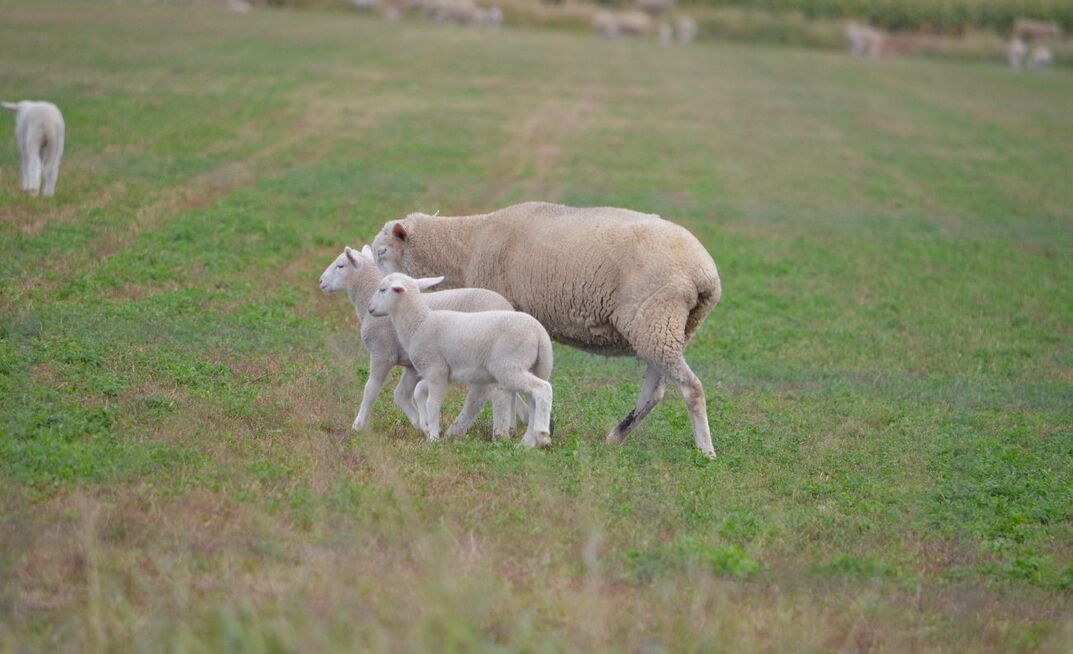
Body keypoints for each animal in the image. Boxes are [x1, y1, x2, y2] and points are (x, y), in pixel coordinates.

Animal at [319, 245, 524, 438]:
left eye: (340, 265)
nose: (320, 282)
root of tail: (509, 309)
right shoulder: (412, 365)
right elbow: (401, 394)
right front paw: (422, 424)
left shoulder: (382, 353)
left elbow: (371, 389)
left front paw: (358, 424)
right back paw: (511, 427)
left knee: (489, 394)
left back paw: (493, 431)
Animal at [368, 273, 554, 448]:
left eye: (383, 290)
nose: (370, 309)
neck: (419, 323)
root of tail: (540, 334)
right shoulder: (442, 373)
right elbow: (419, 391)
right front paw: (425, 425)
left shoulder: (435, 369)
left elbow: (433, 404)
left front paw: (433, 438)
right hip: (538, 366)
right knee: (534, 400)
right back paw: (527, 443)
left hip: (509, 366)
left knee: (542, 389)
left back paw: (542, 435)